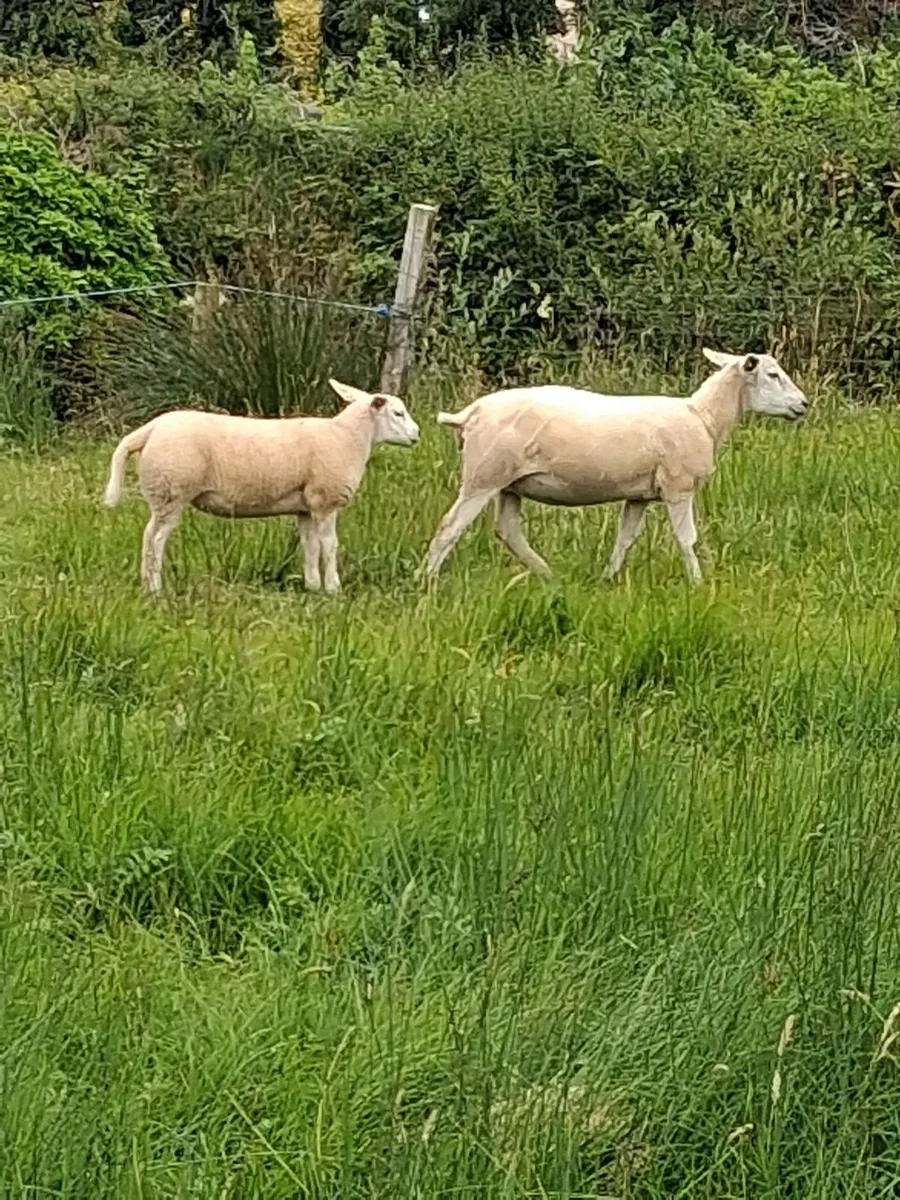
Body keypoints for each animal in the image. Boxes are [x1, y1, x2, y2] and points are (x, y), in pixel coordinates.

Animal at [103, 380, 420, 595]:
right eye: (398, 413)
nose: (417, 434)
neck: (348, 437)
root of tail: (149, 430)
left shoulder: (306, 507)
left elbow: (309, 545)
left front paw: (313, 586)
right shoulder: (325, 500)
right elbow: (329, 546)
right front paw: (333, 588)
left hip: (162, 493)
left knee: (148, 536)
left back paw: (146, 585)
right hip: (172, 491)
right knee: (155, 540)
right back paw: (156, 588)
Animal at [422, 349, 808, 585]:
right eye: (773, 375)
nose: (803, 404)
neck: (705, 418)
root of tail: (469, 414)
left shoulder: (638, 496)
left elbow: (625, 538)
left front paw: (608, 577)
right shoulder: (678, 487)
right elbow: (687, 540)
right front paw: (698, 583)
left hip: (509, 484)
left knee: (508, 530)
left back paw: (549, 575)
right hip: (484, 476)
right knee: (449, 528)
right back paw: (426, 582)